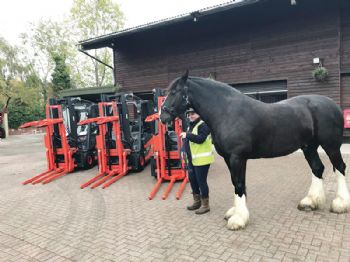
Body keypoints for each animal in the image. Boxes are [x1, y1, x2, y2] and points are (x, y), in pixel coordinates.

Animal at [161, 71, 350, 229]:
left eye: (174, 92)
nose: (163, 117)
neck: (226, 111)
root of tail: (332, 105)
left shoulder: (237, 157)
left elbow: (238, 183)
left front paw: (238, 219)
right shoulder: (229, 158)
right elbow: (236, 183)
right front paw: (234, 212)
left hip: (331, 146)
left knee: (340, 167)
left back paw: (340, 203)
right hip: (309, 147)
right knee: (318, 168)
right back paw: (310, 202)